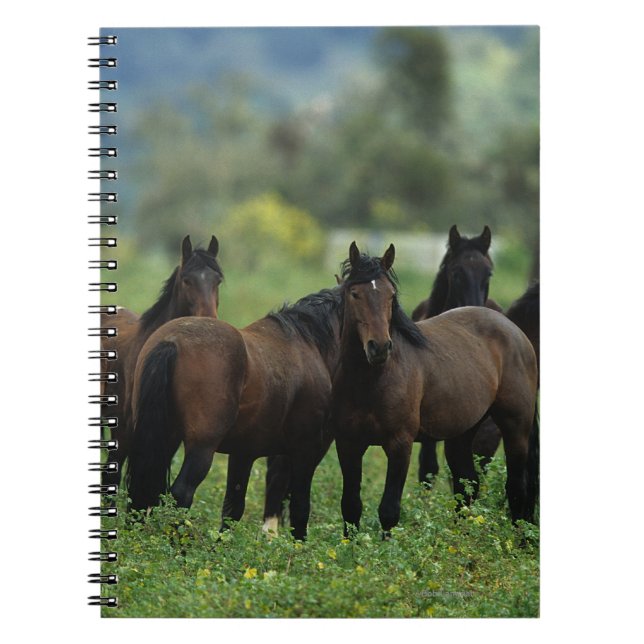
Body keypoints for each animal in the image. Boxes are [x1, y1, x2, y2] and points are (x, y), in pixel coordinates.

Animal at [125, 287, 342, 541]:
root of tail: (170, 342)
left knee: (141, 489)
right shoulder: (306, 449)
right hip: (201, 447)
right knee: (181, 492)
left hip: (163, 438)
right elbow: (299, 505)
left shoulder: (244, 452)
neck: (308, 343)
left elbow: (233, 507)